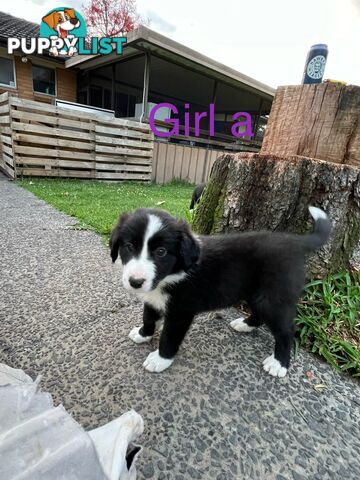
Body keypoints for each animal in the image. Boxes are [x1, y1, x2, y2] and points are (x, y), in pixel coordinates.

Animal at [110, 208, 332, 376]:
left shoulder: (181, 313)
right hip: (256, 294)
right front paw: (143, 334)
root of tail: (295, 242)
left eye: (161, 252)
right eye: (128, 246)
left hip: (274, 296)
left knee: (286, 330)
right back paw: (245, 325)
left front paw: (159, 360)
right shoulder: (152, 299)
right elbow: (148, 317)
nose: (135, 282)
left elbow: (169, 337)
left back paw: (279, 364)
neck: (170, 275)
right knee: (260, 314)